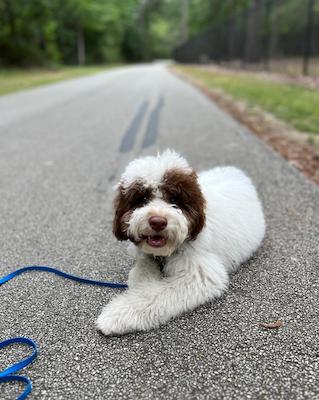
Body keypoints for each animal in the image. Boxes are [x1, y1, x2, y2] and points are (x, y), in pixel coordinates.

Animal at [96, 150, 266, 334]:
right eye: (142, 199)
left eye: (174, 200)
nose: (157, 222)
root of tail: (236, 171)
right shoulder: (146, 256)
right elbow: (142, 271)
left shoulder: (200, 274)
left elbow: (154, 295)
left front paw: (115, 315)